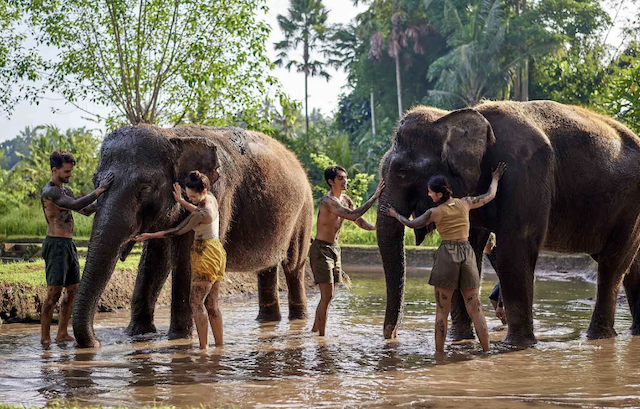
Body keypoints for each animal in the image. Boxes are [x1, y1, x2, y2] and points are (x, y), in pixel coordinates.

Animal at [72, 125, 314, 348]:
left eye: (145, 187)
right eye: (95, 181)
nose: (97, 342)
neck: (174, 136)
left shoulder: (219, 194)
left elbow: (187, 255)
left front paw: (178, 338)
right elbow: (155, 259)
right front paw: (138, 334)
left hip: (305, 211)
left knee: (293, 266)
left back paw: (298, 321)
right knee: (268, 268)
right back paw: (268, 321)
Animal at [377, 100, 640, 346]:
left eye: (402, 172)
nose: (392, 336)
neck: (453, 116)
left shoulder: (524, 170)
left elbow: (513, 250)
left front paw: (516, 345)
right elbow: (471, 250)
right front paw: (461, 341)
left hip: (629, 207)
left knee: (612, 264)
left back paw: (597, 337)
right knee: (631, 265)